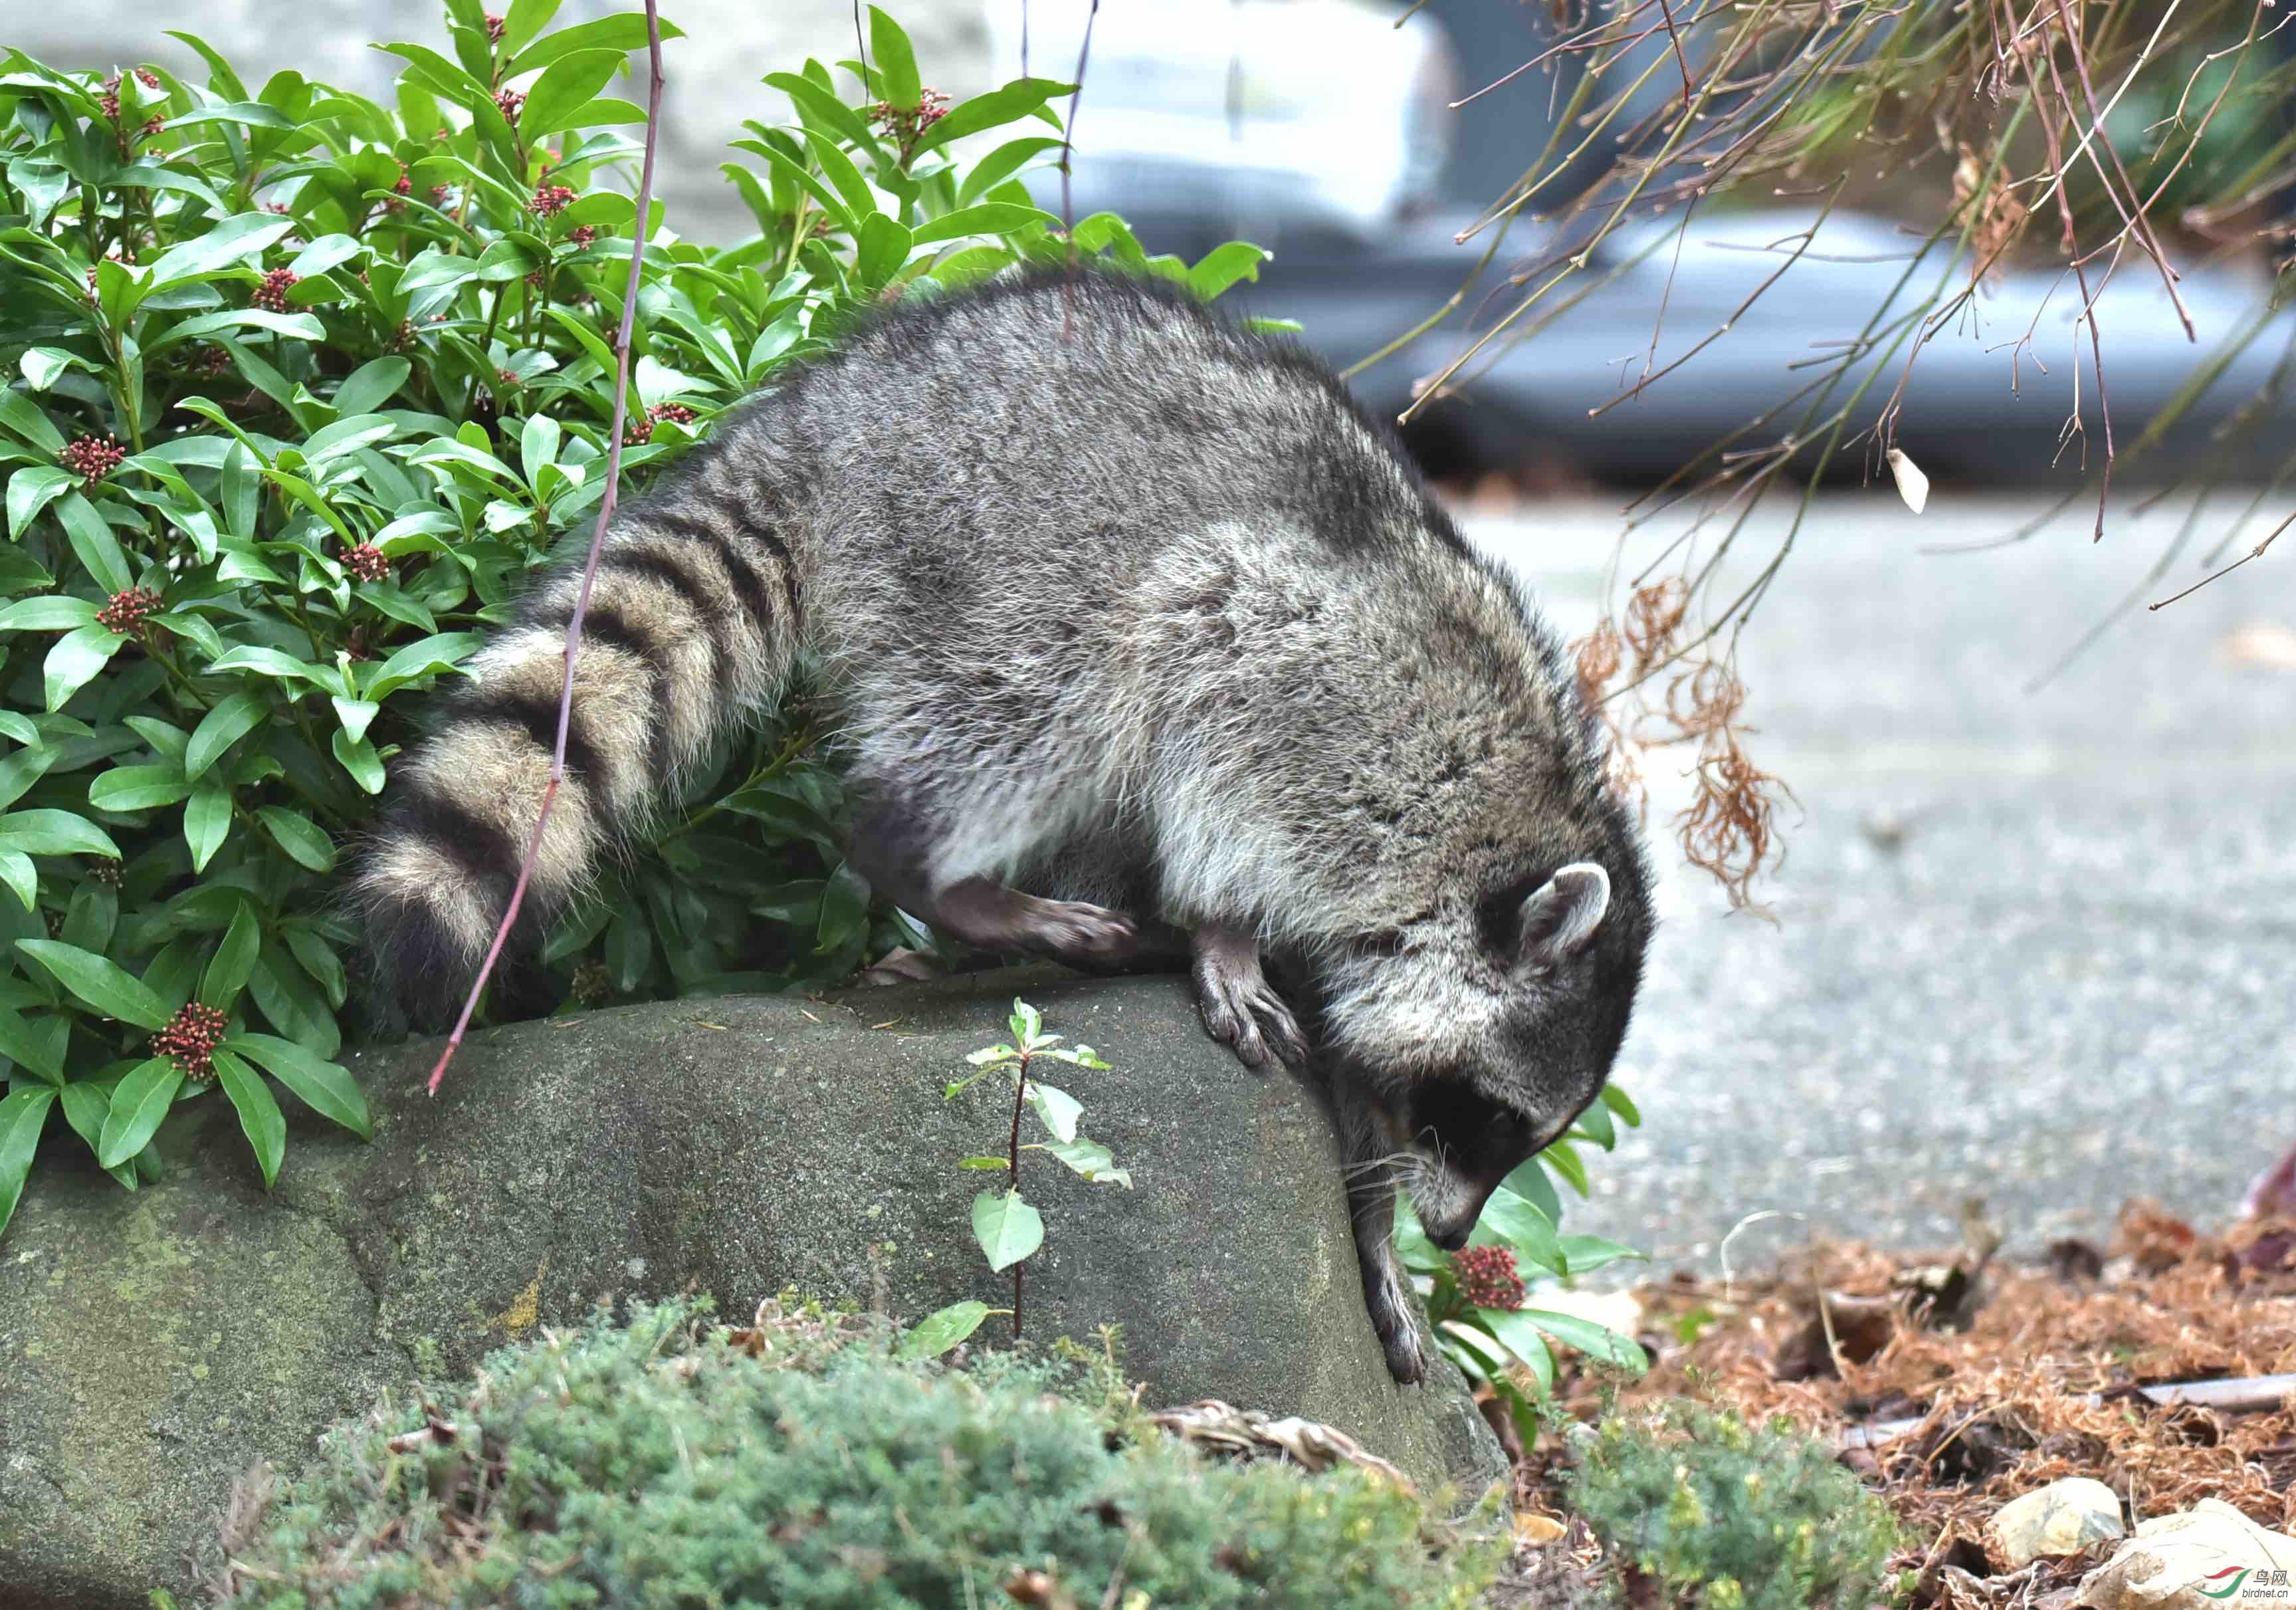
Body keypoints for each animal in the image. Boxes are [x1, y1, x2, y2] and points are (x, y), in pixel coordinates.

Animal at [354, 264, 1653, 1378]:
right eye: (1485, 1115)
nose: (1455, 1238)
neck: (1504, 826)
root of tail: (843, 401)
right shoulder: (1303, 676)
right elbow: (1216, 752)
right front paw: (1223, 928)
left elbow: (1350, 1045)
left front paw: (1372, 1217)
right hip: (998, 556)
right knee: (1062, 703)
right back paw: (951, 882)